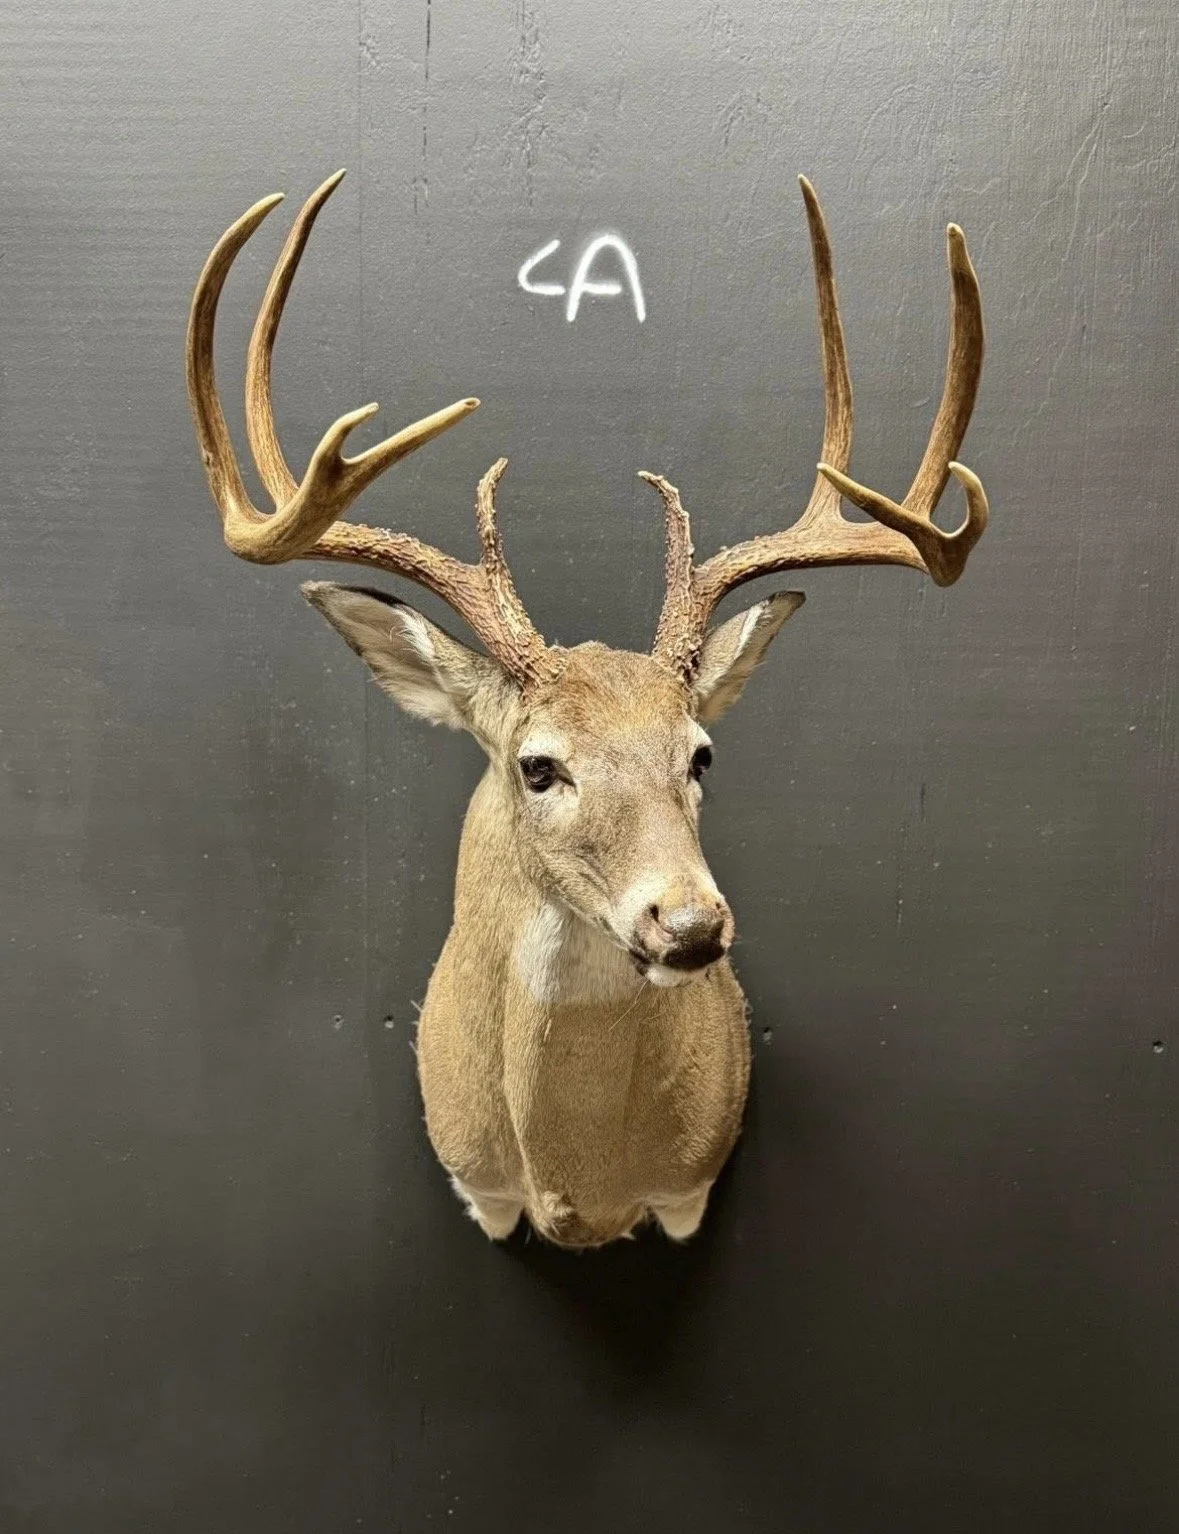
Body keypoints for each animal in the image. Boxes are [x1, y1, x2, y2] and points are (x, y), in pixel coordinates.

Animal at [186, 169, 987, 1249]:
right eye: (538, 764)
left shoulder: (689, 1188)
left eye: (700, 754)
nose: (689, 927)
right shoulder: (476, 1184)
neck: (580, 1190)